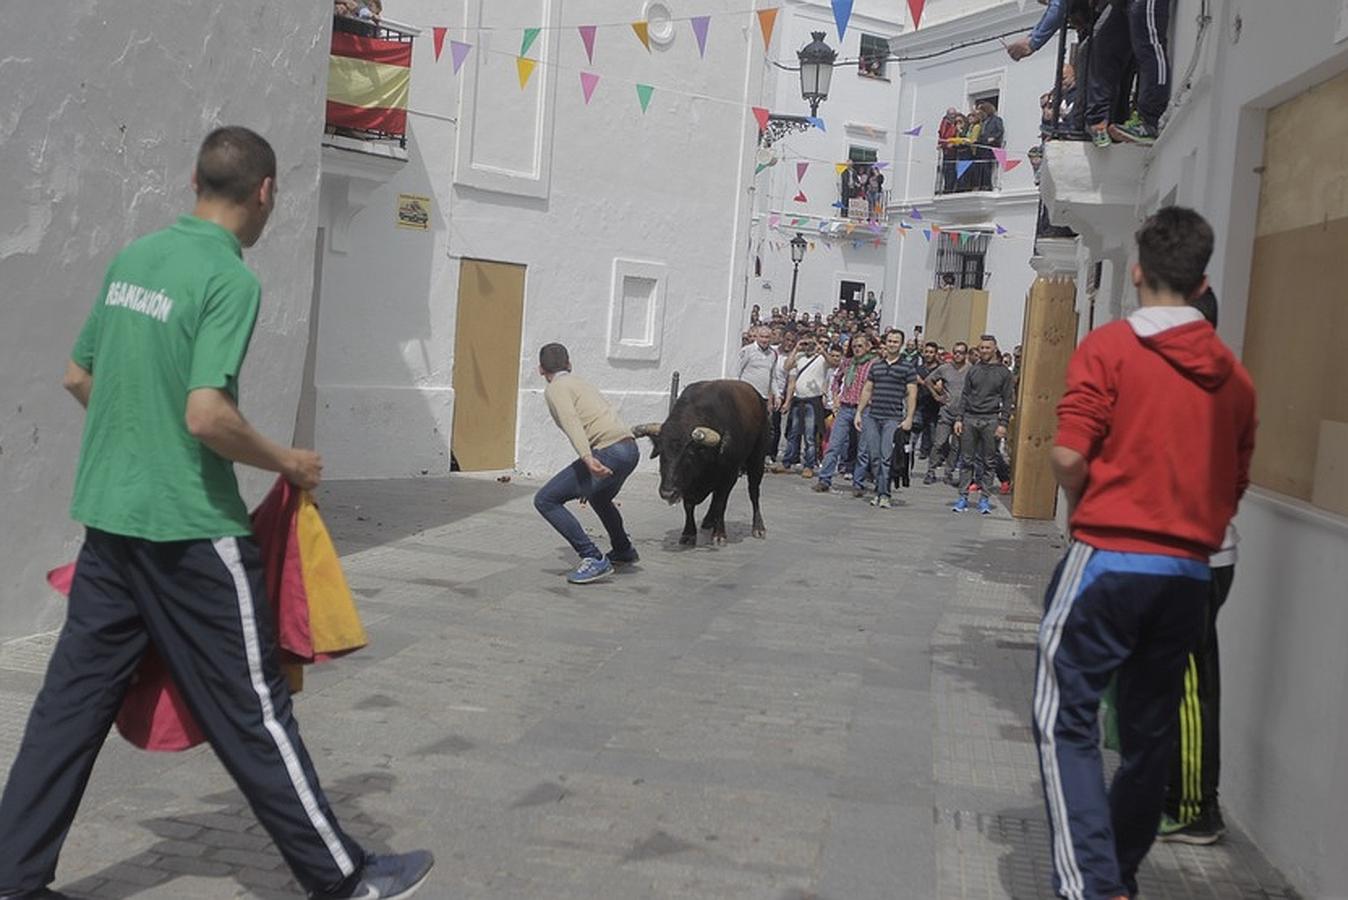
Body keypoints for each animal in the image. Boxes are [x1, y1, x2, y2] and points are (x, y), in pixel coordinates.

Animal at [630, 377, 771, 544]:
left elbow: (721, 502)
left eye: (689, 454)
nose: (668, 493)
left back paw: (758, 527)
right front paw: (688, 533)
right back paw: (708, 520)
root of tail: (759, 398)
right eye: (662, 453)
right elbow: (689, 505)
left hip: (757, 459)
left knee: (754, 492)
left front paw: (719, 534)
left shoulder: (729, 476)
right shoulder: (687, 484)